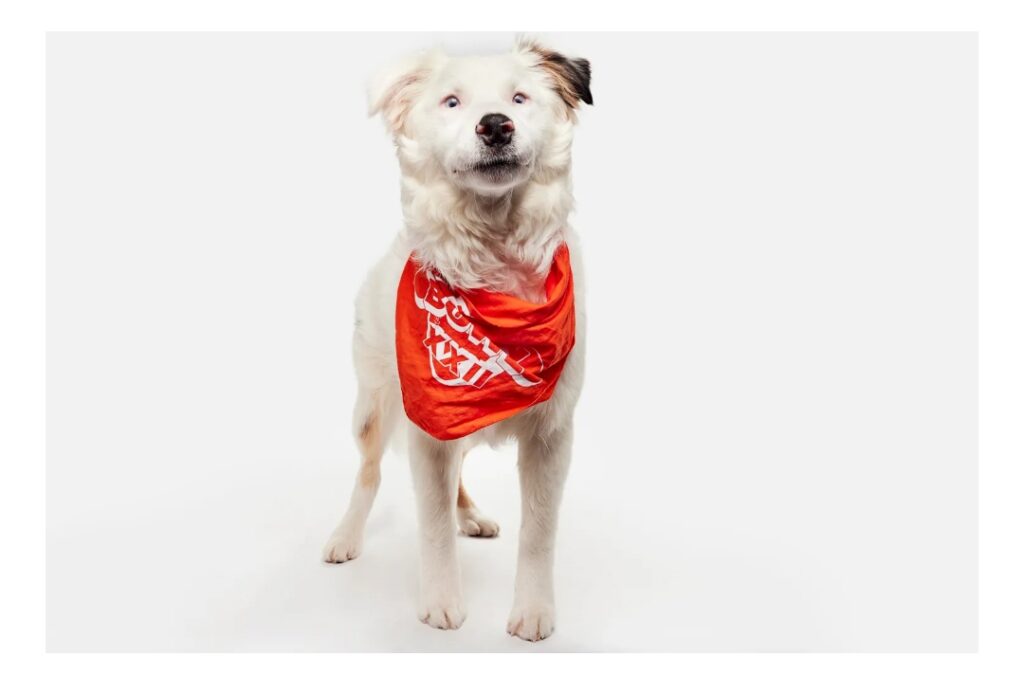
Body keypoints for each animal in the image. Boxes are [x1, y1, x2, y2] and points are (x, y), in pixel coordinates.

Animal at [322, 38, 592, 642]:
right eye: (452, 102)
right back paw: (346, 536)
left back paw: (472, 514)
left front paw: (533, 611)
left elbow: (539, 529)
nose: (495, 125)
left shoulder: (552, 433)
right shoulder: (428, 425)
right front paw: (441, 602)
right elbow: (432, 522)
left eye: (520, 98)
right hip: (375, 405)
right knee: (368, 473)